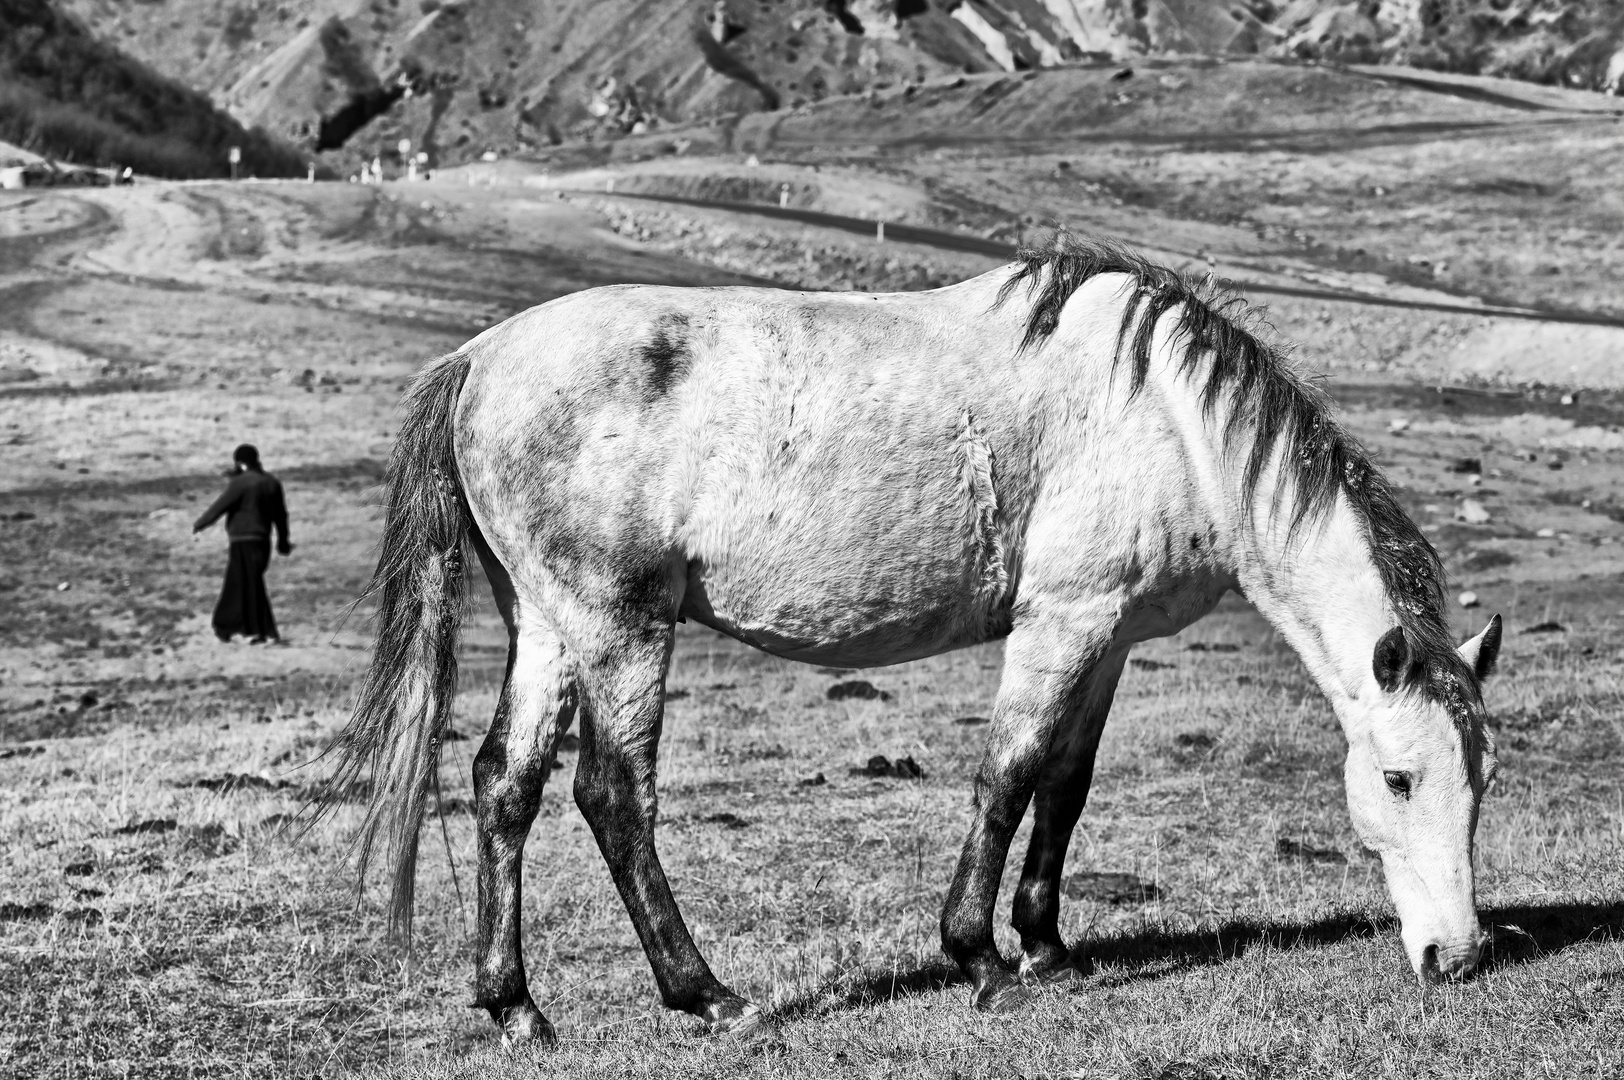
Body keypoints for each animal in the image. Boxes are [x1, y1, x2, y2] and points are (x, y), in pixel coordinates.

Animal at [326, 233, 1494, 1039]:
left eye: (1479, 781)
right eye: (1397, 779)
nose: (1459, 955)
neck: (1169, 416)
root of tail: (477, 360)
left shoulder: (1107, 637)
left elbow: (1065, 787)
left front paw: (1048, 948)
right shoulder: (1061, 621)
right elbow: (1008, 775)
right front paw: (979, 960)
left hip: (545, 624)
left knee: (503, 785)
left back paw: (517, 1008)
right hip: (618, 626)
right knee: (612, 795)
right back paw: (707, 995)